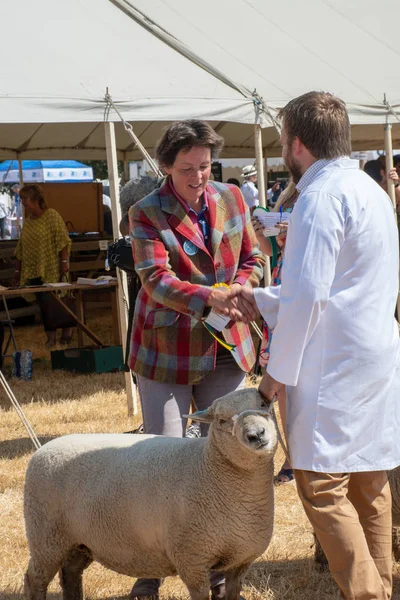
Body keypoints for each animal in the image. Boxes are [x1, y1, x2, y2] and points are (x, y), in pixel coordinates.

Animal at [22, 386, 278, 600]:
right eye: (222, 420)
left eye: (263, 404)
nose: (256, 434)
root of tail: (43, 449)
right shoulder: (192, 559)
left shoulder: (241, 559)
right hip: (46, 536)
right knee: (35, 580)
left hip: (78, 541)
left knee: (70, 573)